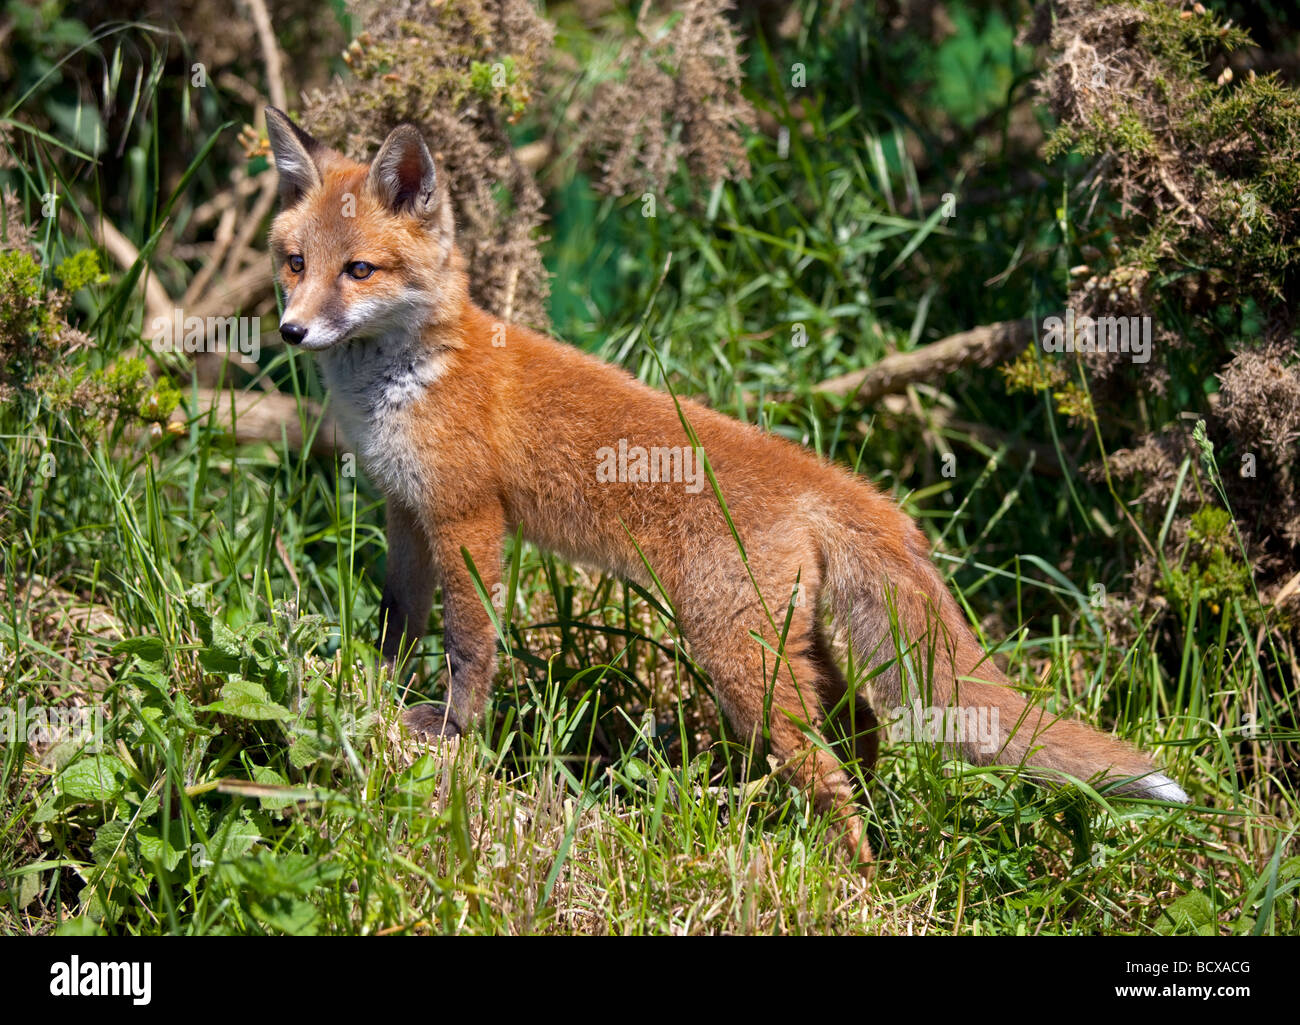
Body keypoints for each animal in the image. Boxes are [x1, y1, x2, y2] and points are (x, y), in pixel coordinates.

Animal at [261, 109, 1190, 863]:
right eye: (296, 262)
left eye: (360, 270)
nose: (290, 329)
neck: (407, 378)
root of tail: (839, 485)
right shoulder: (405, 511)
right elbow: (398, 620)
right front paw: (368, 689)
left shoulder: (467, 519)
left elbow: (468, 645)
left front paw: (453, 731)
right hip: (784, 648)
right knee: (860, 730)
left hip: (735, 654)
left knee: (827, 766)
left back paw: (850, 876)